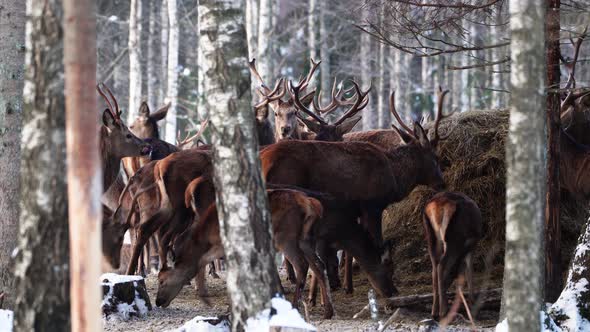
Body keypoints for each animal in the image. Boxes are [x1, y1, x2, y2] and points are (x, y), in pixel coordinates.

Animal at [424, 192, 484, 320]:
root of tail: (438, 204)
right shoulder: (472, 244)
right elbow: (469, 271)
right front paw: (473, 307)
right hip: (454, 237)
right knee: (441, 265)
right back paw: (443, 311)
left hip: (431, 237)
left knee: (434, 268)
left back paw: (434, 312)